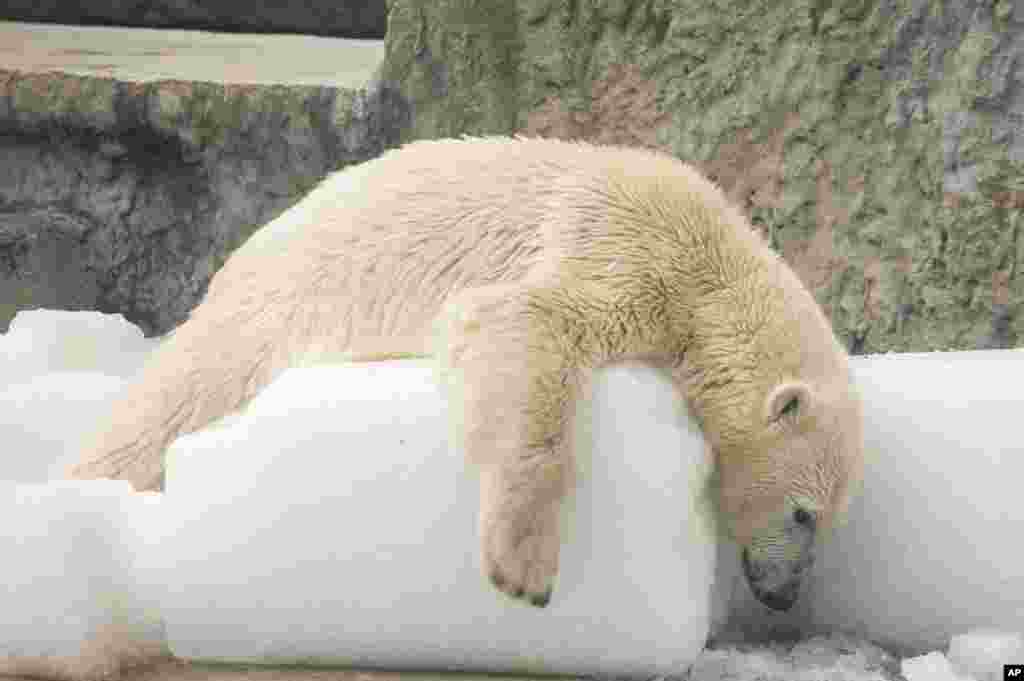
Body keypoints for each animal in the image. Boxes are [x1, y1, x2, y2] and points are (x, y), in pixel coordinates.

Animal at [70, 135, 864, 606]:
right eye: (804, 512)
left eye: (829, 519)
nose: (784, 595)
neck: (716, 265)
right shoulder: (626, 248)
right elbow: (524, 320)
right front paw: (525, 566)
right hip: (259, 320)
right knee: (164, 412)